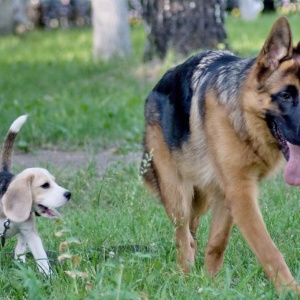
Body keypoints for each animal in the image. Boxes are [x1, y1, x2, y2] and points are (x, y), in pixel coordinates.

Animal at [0, 115, 71, 274]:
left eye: (55, 181)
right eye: (45, 185)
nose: (68, 194)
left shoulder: (31, 232)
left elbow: (41, 256)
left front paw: (48, 276)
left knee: (20, 246)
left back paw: (20, 263)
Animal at [142, 17, 300, 292]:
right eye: (285, 95)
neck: (243, 118)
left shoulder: (231, 193)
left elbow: (217, 243)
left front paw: (213, 284)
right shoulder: (239, 192)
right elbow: (268, 250)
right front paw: (290, 290)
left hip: (204, 196)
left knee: (193, 231)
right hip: (177, 194)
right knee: (182, 237)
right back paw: (184, 277)